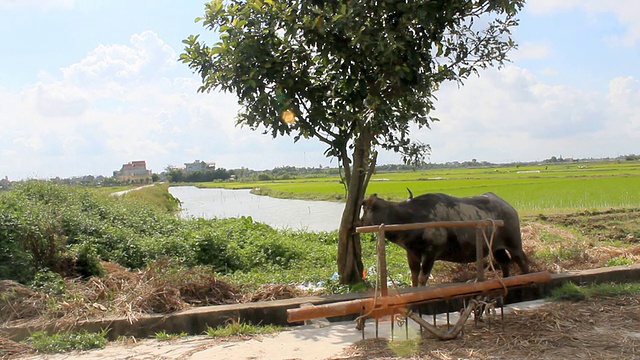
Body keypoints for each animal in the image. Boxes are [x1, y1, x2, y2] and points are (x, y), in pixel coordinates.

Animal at [360, 191, 528, 286]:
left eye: (365, 210)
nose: (358, 222)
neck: (410, 218)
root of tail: (509, 207)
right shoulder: (412, 253)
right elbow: (414, 277)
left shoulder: (430, 253)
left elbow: (423, 278)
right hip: (496, 248)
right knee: (504, 262)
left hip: (514, 244)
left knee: (521, 260)